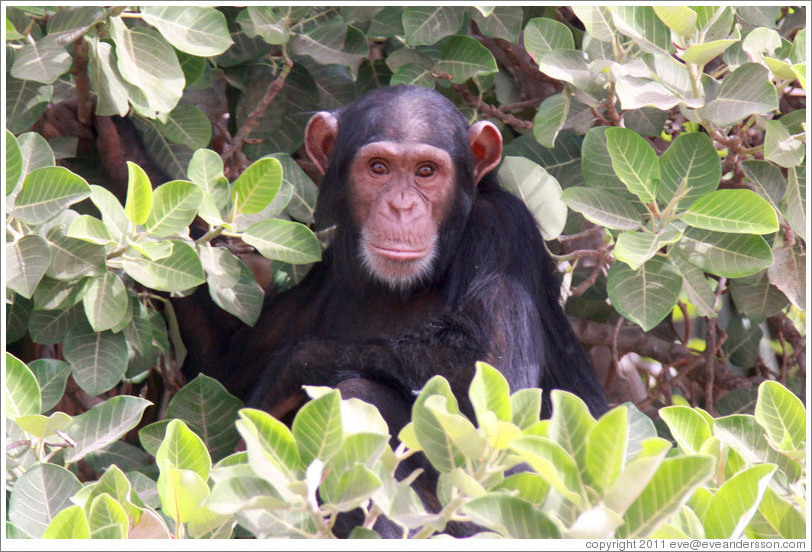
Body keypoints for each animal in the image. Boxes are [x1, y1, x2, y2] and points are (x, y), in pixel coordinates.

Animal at [178, 84, 608, 424]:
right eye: (379, 168)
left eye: (426, 171)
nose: (401, 206)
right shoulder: (326, 272)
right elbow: (218, 359)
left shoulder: (503, 235)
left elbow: (489, 374)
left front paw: (288, 370)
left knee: (359, 392)